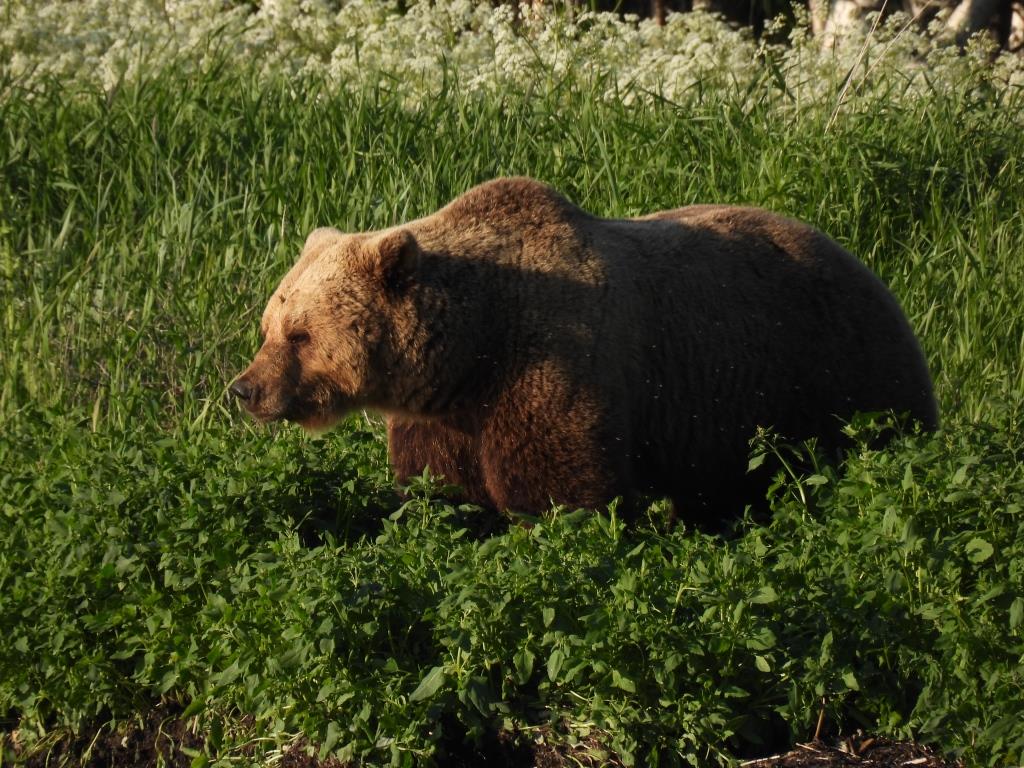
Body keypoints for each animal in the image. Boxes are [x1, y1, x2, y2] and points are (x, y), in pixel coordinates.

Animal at [230, 180, 937, 528]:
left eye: (300, 334)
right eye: (267, 325)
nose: (244, 390)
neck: (475, 350)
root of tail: (867, 267)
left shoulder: (551, 372)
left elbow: (561, 495)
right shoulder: (442, 417)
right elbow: (440, 492)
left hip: (835, 374)